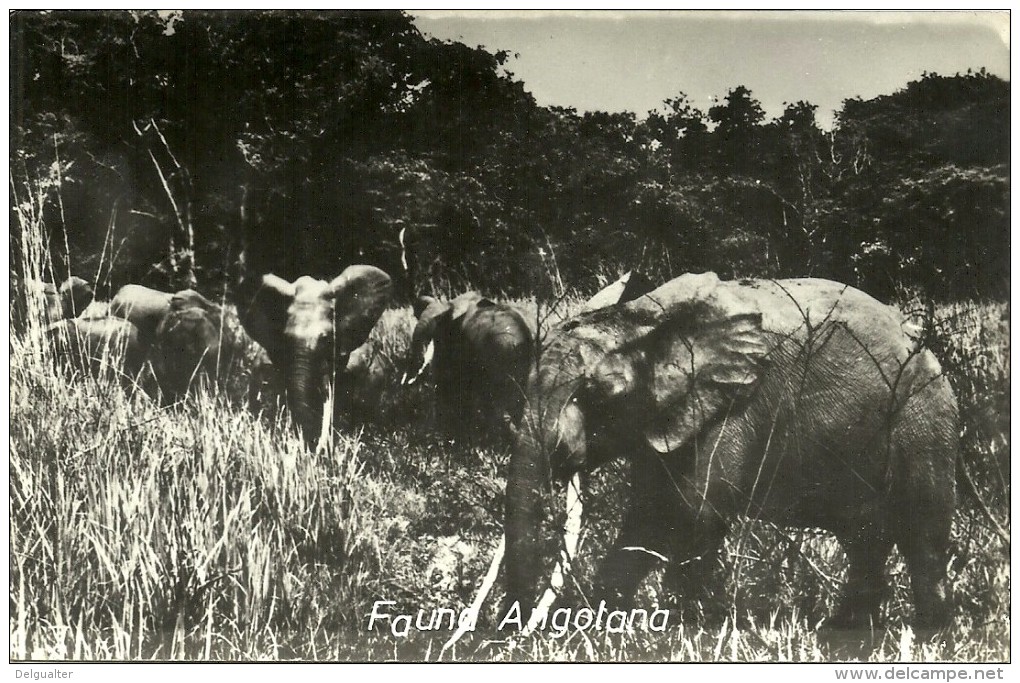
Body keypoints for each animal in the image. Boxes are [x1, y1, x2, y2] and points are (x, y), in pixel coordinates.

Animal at [505, 271, 958, 632]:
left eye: (600, 394)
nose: (517, 629)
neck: (647, 316)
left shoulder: (736, 405)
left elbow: (694, 514)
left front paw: (693, 631)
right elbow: (646, 517)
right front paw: (606, 629)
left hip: (925, 417)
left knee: (923, 533)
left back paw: (927, 636)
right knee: (865, 539)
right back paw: (844, 637)